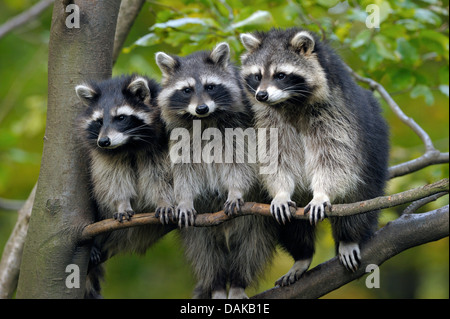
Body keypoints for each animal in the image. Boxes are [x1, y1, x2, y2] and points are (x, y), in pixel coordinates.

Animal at [74, 74, 175, 298]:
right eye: (99, 121)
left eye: (121, 118)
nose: (104, 141)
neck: (129, 144)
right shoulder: (106, 157)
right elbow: (111, 180)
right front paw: (121, 203)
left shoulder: (162, 143)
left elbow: (163, 175)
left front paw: (164, 200)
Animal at [156, 43, 278, 300]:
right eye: (186, 90)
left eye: (210, 86)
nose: (201, 108)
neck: (205, 119)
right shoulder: (181, 136)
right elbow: (182, 171)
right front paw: (184, 198)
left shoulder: (240, 126)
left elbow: (240, 162)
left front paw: (235, 190)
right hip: (201, 225)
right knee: (205, 253)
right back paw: (218, 284)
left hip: (255, 218)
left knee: (252, 247)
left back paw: (238, 283)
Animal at [239, 28, 390, 288]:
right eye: (257, 76)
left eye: (281, 75)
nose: (261, 95)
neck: (289, 102)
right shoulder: (267, 120)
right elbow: (275, 158)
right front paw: (281, 192)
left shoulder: (335, 111)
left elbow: (334, 157)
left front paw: (322, 193)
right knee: (291, 226)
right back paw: (302, 254)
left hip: (374, 152)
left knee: (359, 198)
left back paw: (349, 238)